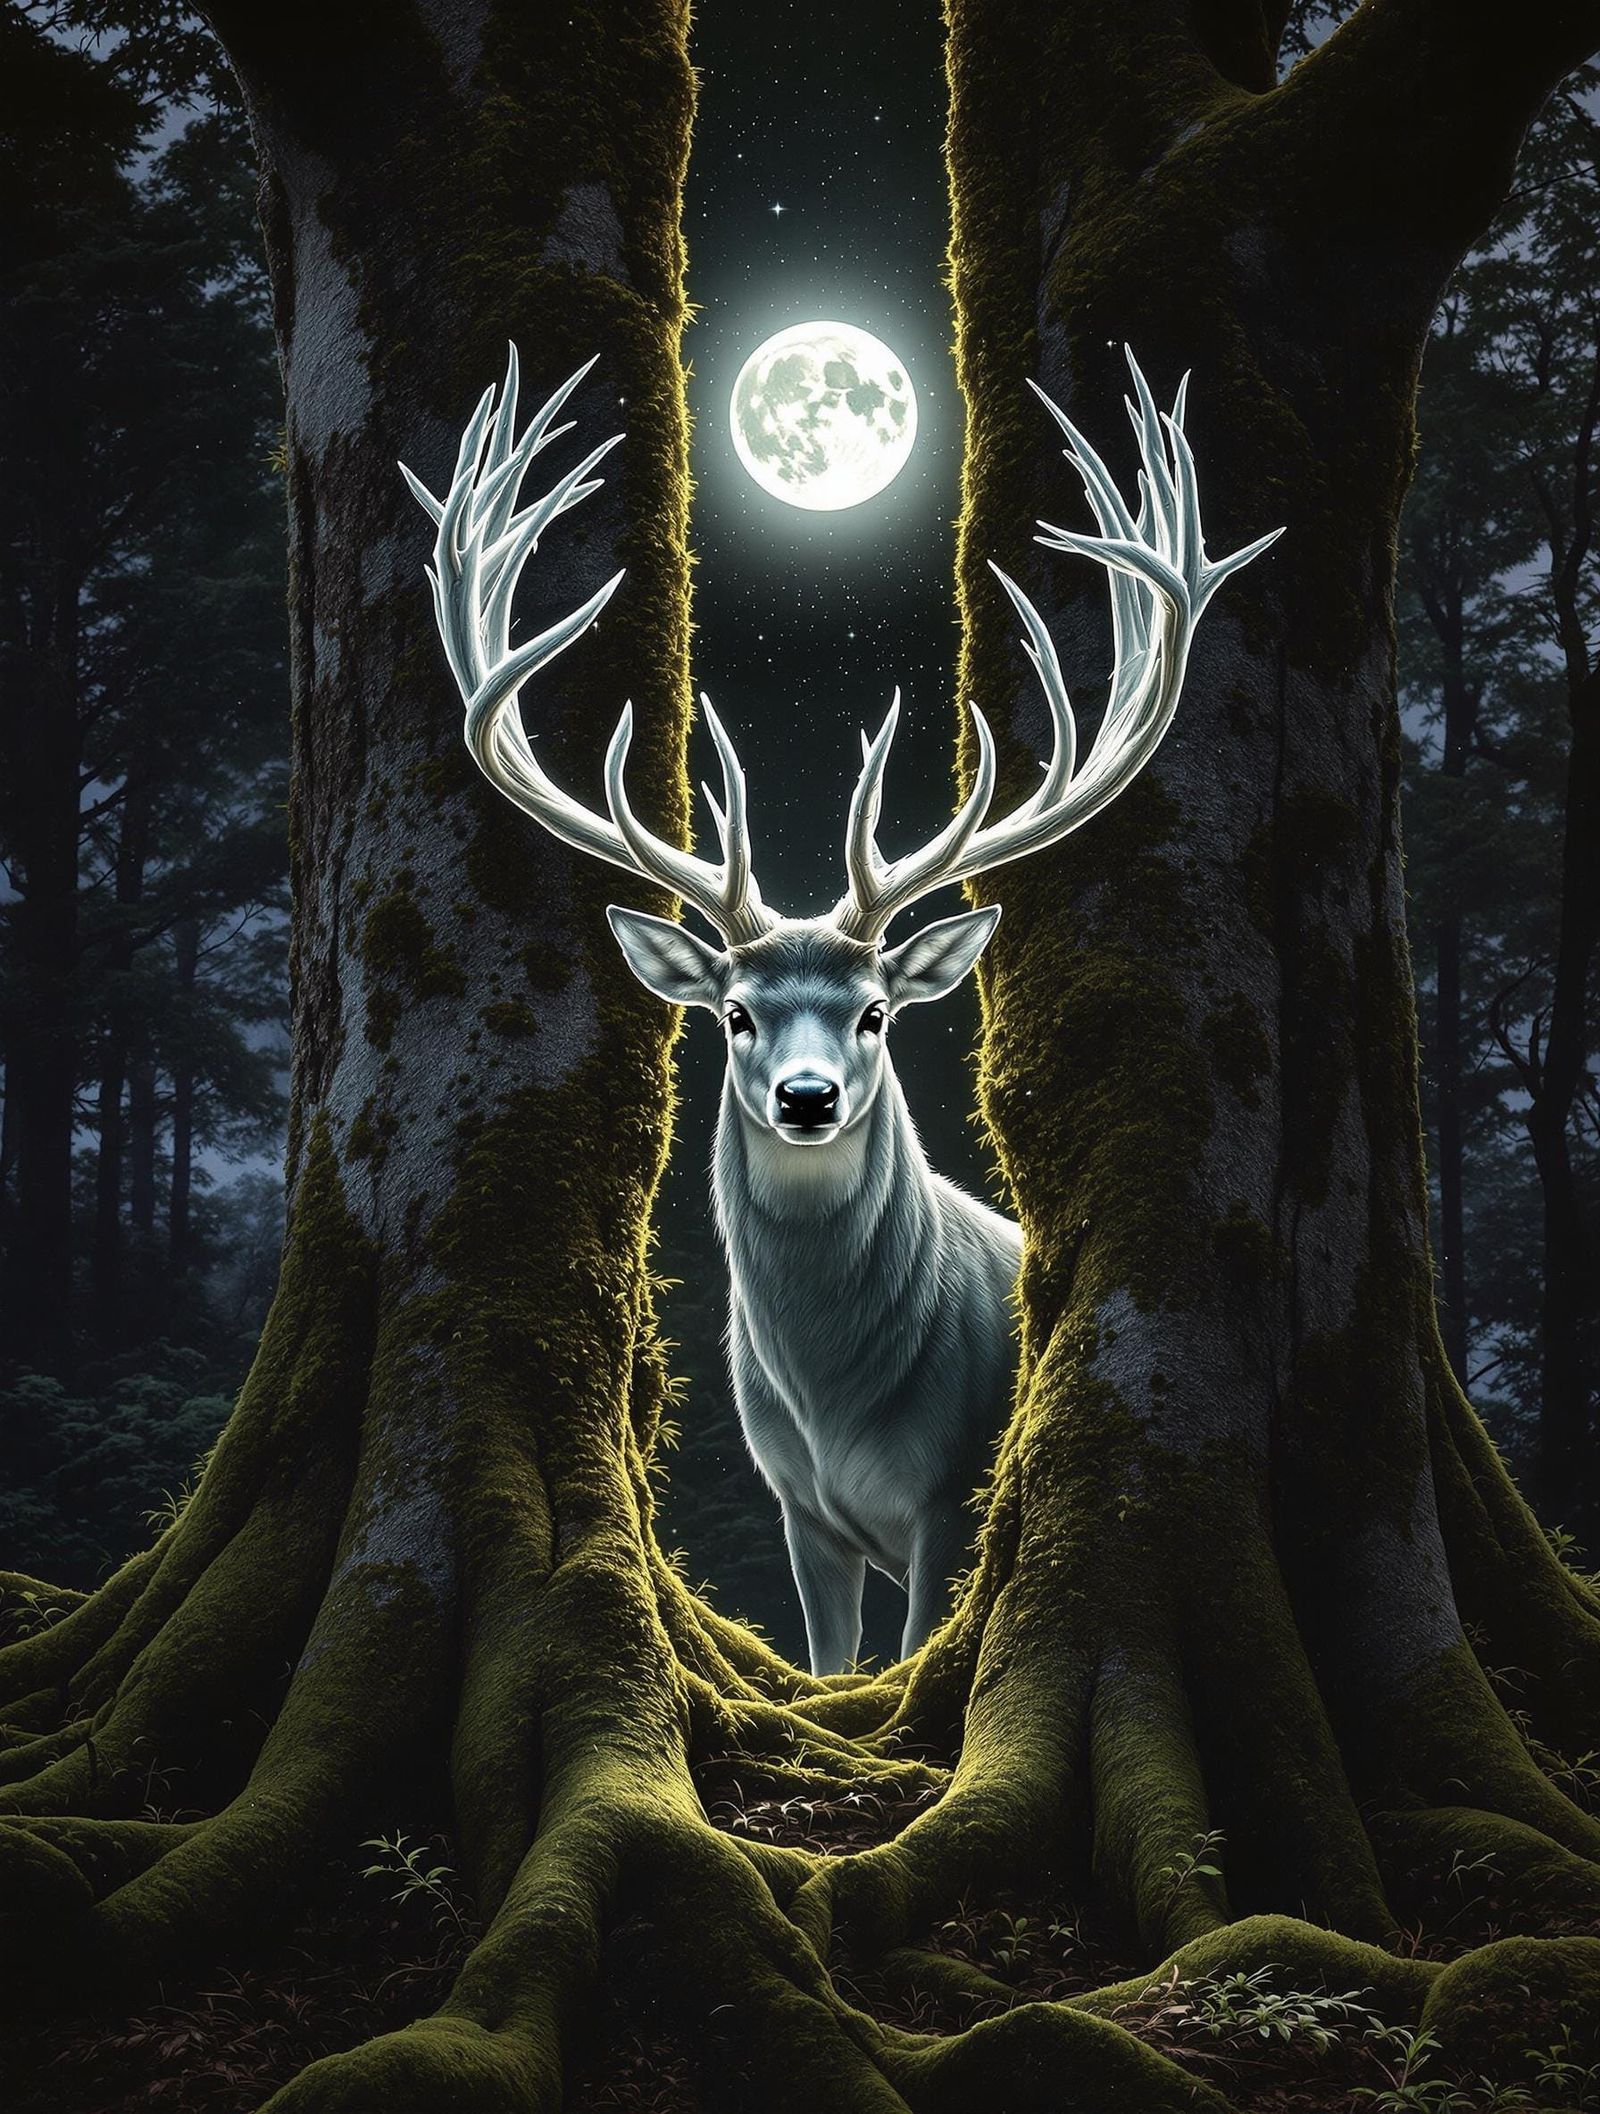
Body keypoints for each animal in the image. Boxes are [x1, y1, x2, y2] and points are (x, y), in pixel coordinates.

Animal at [402, 346, 1280, 1673]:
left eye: (875, 1013)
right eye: (732, 1015)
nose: (807, 1097)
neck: (839, 1404)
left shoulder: (950, 1494)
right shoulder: (799, 1513)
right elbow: (828, 1667)